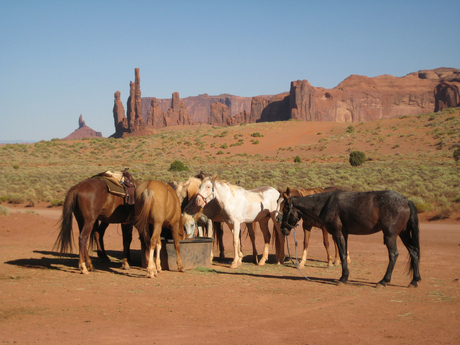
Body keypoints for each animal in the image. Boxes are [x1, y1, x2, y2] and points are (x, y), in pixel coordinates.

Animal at [276, 188, 420, 288]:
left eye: (285, 209)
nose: (283, 229)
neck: (325, 204)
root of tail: (406, 201)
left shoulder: (338, 232)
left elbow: (343, 254)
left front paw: (343, 278)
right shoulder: (344, 234)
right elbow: (343, 253)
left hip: (391, 235)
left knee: (394, 254)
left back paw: (383, 281)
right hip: (403, 234)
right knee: (413, 252)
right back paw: (414, 280)